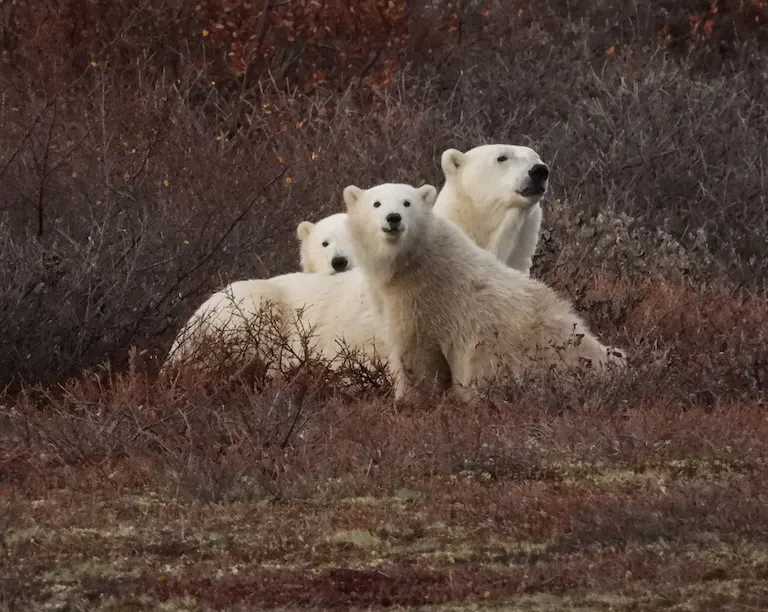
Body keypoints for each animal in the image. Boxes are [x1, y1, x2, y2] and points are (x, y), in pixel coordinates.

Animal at [344, 181, 626, 400]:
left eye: (407, 203)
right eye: (376, 204)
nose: (393, 218)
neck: (412, 260)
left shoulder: (423, 298)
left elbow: (416, 356)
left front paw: (406, 400)